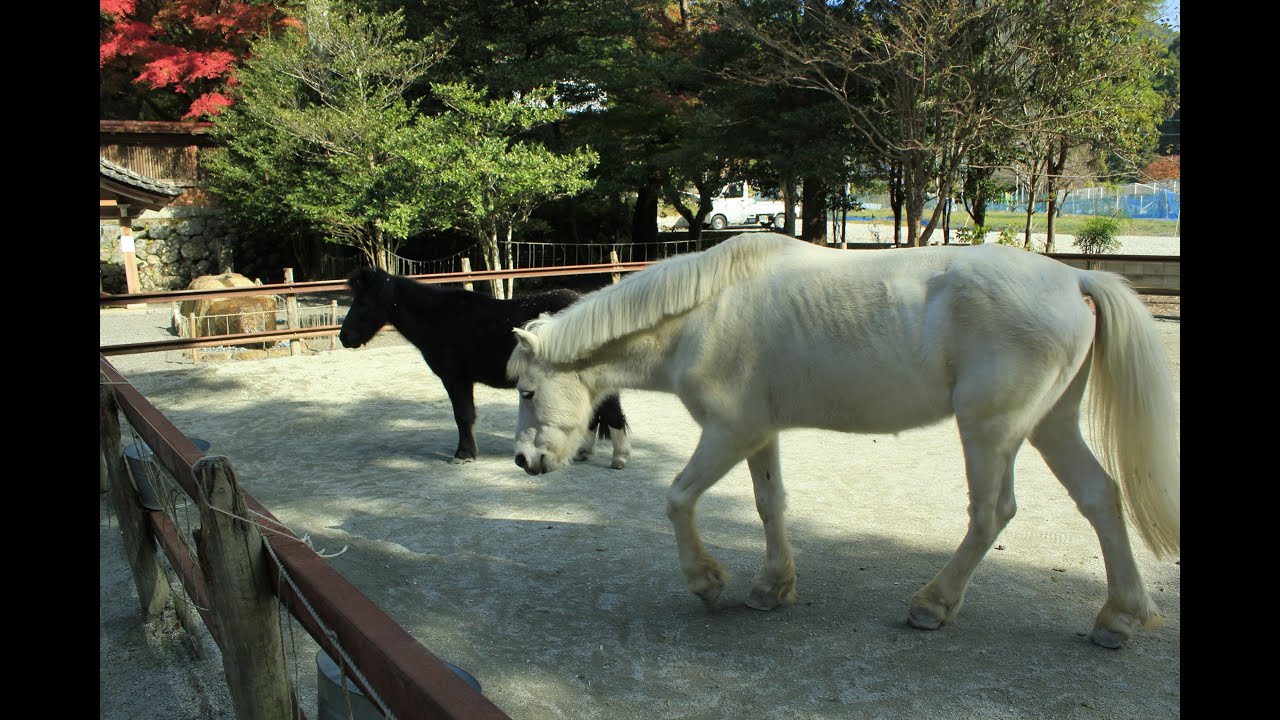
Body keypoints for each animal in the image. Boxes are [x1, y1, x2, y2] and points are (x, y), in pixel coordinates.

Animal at [339, 266, 630, 467]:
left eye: (363, 303)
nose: (344, 337)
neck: (439, 319)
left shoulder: (455, 379)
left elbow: (463, 416)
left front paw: (463, 455)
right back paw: (583, 453)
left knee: (612, 413)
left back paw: (619, 459)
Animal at [506, 232, 1179, 649]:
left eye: (528, 391)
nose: (524, 459)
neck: (706, 313)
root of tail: (1076, 281)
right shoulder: (759, 434)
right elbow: (769, 505)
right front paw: (771, 588)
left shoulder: (728, 433)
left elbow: (677, 498)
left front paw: (707, 582)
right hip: (1050, 425)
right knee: (1100, 498)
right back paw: (1118, 618)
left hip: (991, 431)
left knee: (992, 513)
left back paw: (932, 605)